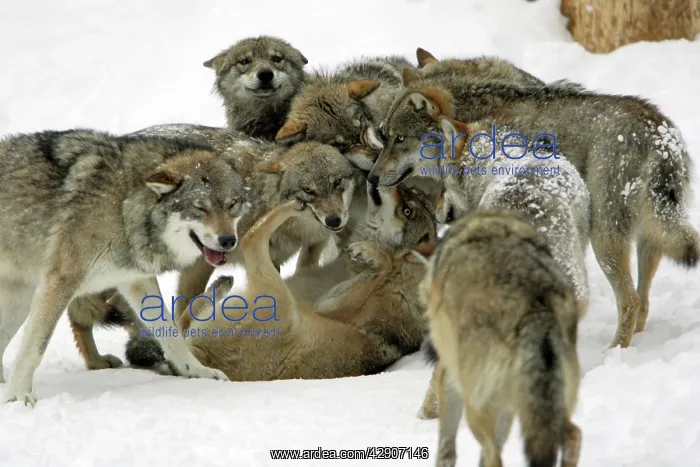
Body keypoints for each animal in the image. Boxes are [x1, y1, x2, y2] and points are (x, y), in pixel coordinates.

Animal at [0, 129, 250, 405]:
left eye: (232, 204)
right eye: (200, 207)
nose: (228, 241)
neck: (123, 205)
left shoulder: (135, 280)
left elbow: (170, 332)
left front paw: (196, 371)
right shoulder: (61, 281)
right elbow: (35, 346)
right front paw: (19, 395)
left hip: (20, 299)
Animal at [125, 194, 435, 381]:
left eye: (407, 210)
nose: (377, 182)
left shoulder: (337, 301)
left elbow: (380, 268)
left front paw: (374, 256)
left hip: (280, 297)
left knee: (250, 238)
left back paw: (292, 206)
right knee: (183, 320)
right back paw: (220, 285)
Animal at [369, 67, 700, 348]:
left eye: (399, 139)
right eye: (384, 137)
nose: (371, 178)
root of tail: (662, 136)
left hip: (604, 241)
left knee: (630, 300)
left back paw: (613, 352)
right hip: (652, 237)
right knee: (642, 300)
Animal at [418, 210, 582, 467]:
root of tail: (535, 307)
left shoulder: (448, 378)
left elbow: (446, 446)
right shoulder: (508, 408)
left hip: (477, 409)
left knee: (494, 457)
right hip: (545, 405)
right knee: (574, 436)